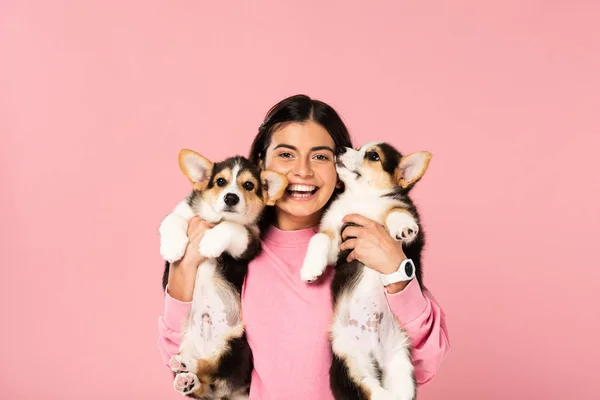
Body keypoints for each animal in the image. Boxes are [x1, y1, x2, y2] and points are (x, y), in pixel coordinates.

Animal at [158, 148, 288, 398]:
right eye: (220, 181)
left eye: (248, 185)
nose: (231, 198)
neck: (215, 218)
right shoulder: (183, 212)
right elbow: (172, 219)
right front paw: (172, 247)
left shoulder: (249, 242)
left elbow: (232, 227)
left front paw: (209, 243)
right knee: (203, 384)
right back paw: (186, 379)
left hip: (236, 348)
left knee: (212, 369)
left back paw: (186, 366)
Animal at [300, 142, 432, 400]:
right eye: (357, 147)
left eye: (373, 156)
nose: (340, 148)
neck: (360, 197)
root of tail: (375, 356)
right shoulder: (337, 243)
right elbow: (319, 238)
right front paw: (310, 269)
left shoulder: (412, 236)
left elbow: (397, 212)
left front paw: (403, 227)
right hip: (351, 364)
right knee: (373, 392)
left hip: (402, 366)